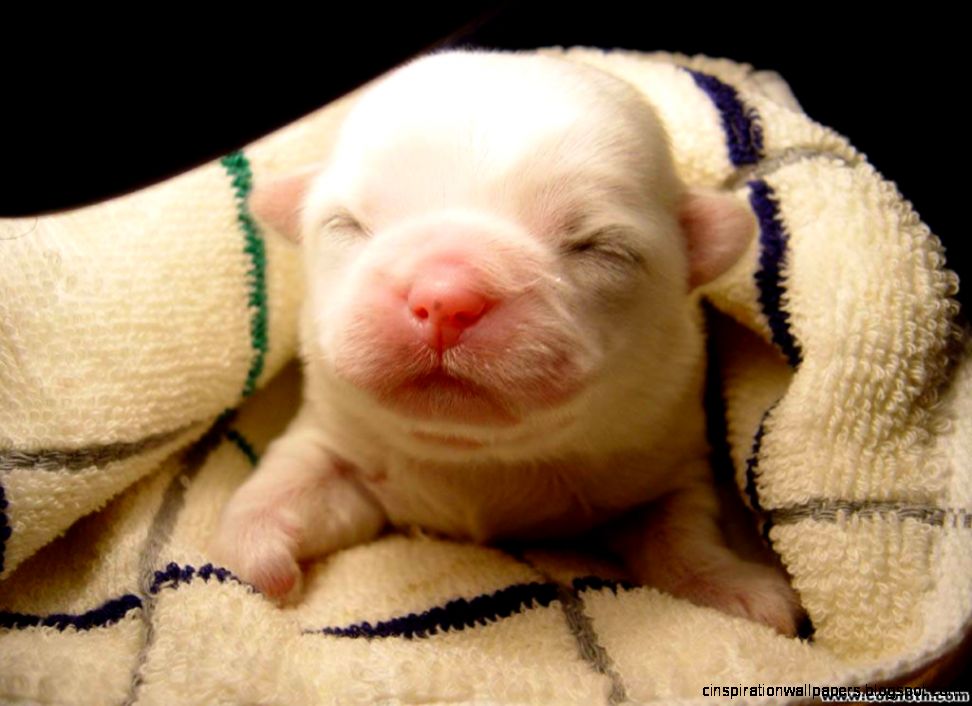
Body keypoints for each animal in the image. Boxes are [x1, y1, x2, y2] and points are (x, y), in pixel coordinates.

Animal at [210, 50, 803, 636]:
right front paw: (253, 551)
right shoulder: (336, 437)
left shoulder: (668, 452)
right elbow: (292, 479)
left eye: (601, 249)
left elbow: (681, 531)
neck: (475, 456)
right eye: (346, 224)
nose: (443, 299)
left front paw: (736, 587)